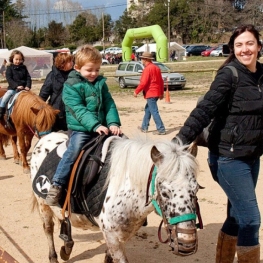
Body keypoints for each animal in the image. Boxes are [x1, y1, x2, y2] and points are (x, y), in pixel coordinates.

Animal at [31, 134, 200, 263]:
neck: (127, 190)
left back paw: (66, 248)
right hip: (43, 205)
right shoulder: (112, 236)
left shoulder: (120, 235)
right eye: (164, 191)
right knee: (48, 228)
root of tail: (46, 137)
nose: (187, 243)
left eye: (196, 189)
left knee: (63, 220)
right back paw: (54, 256)